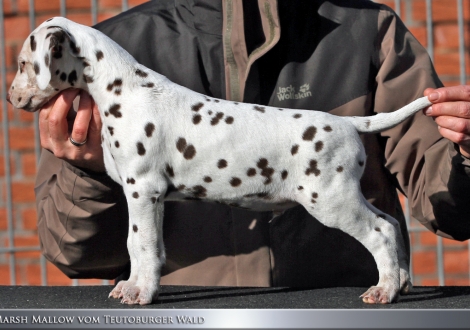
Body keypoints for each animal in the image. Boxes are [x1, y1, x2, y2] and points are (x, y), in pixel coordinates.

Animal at [8, 17, 434, 304]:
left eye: (23, 63)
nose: (11, 97)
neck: (125, 88)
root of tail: (348, 122)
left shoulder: (142, 190)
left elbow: (141, 243)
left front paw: (140, 292)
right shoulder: (151, 197)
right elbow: (143, 246)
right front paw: (136, 286)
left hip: (331, 200)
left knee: (380, 232)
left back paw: (384, 290)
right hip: (345, 197)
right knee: (392, 223)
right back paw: (400, 281)